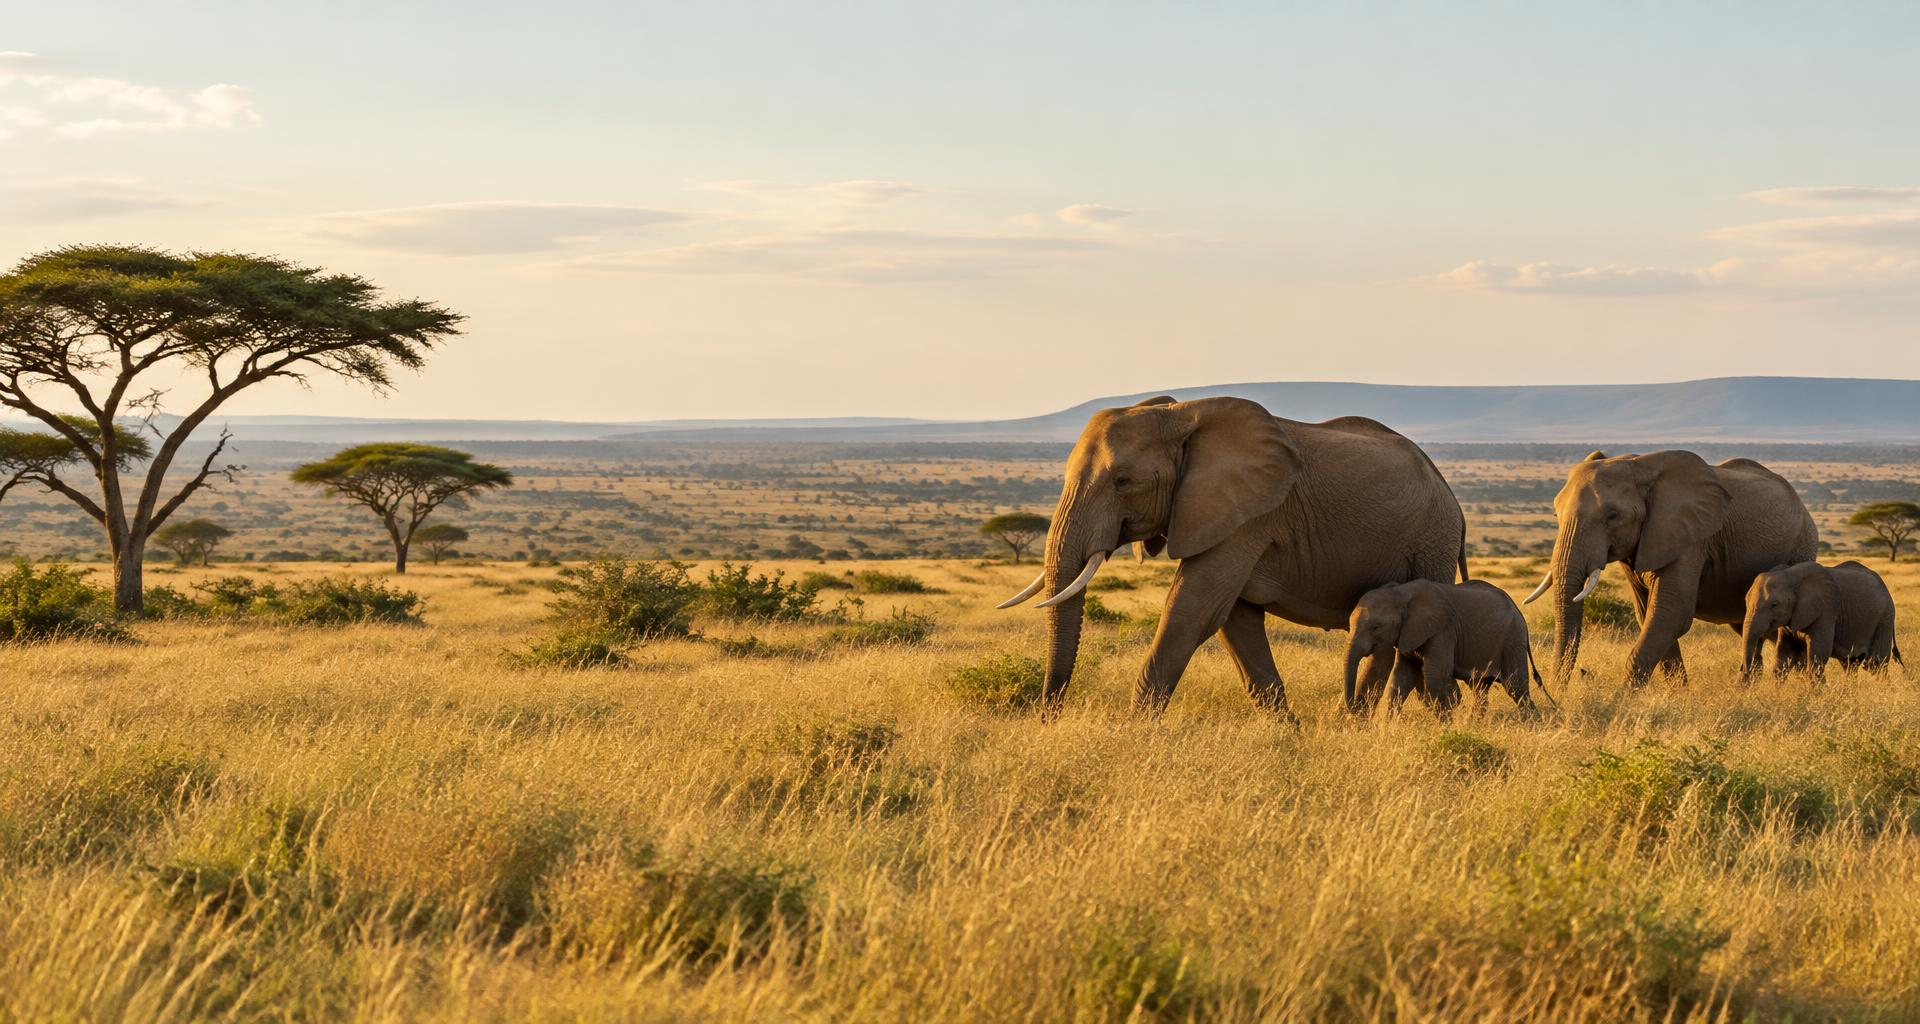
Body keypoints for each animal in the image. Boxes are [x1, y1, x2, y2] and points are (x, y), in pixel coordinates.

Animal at [997, 395, 1467, 716]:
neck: (1180, 415)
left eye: (1123, 481)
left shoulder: (1247, 518)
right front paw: (1289, 739)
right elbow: (1234, 621)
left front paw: (1133, 737)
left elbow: (1194, 611)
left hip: (1432, 540)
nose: (1049, 717)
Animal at [1344, 579, 1540, 714]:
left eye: (1375, 627)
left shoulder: (1443, 630)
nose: (1353, 707)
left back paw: (1532, 724)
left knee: (1517, 688)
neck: (1400, 592)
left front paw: (1445, 727)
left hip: (1512, 641)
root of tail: (1519, 611)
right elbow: (1401, 677)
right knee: (1480, 688)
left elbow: (1434, 676)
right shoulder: (1408, 634)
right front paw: (1388, 727)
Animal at [1522, 450, 1817, 687]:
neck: (1639, 466)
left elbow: (1670, 614)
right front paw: (1677, 694)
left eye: (1612, 517)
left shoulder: (1691, 539)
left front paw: (1622, 700)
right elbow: (1648, 615)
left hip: (1801, 547)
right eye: (1556, 514)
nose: (1558, 692)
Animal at [1742, 560, 1903, 681]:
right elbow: (1784, 654)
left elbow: (1817, 656)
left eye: (1774, 605)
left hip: (1885, 618)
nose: (1747, 672)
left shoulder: (1826, 611)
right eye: (1746, 601)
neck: (1790, 575)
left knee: (1875, 664)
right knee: (1850, 664)